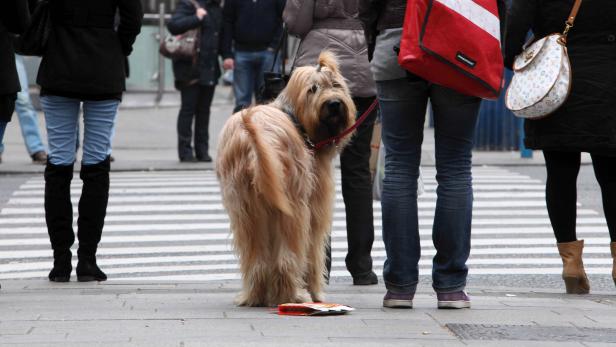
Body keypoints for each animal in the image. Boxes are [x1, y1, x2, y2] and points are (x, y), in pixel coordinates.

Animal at [218, 51, 356, 308]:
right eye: (313, 89)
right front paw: (316, 293)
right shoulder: (315, 210)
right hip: (293, 207)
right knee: (287, 257)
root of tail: (253, 135)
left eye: (335, 85)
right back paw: (295, 295)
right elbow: (313, 254)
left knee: (256, 257)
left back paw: (254, 296)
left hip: (246, 207)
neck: (298, 121)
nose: (334, 104)